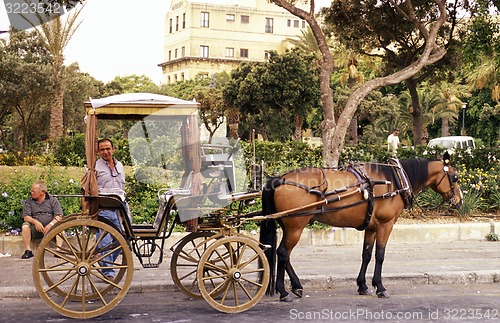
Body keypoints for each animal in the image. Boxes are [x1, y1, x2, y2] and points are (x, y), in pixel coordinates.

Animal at [260, 156, 462, 302]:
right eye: (455, 177)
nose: (459, 201)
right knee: (283, 253)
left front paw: (363, 285)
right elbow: (380, 255)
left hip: (289, 226)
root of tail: (280, 179)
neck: (394, 180)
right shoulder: (385, 224)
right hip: (296, 226)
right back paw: (284, 292)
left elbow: (366, 254)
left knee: (284, 255)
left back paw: (296, 286)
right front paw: (380, 287)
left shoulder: (371, 227)